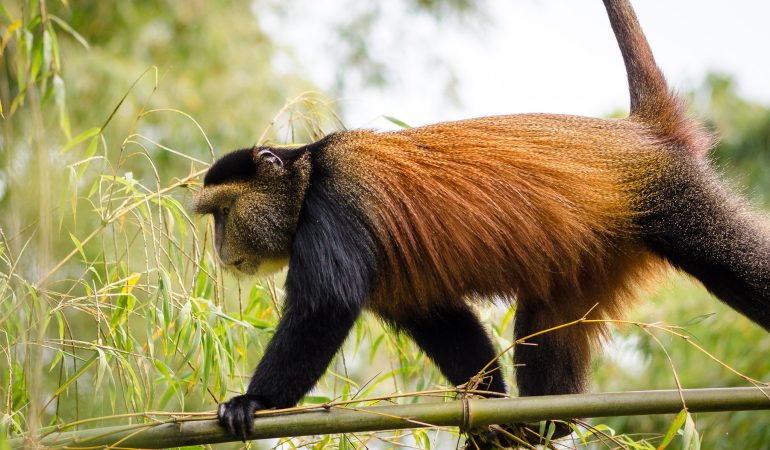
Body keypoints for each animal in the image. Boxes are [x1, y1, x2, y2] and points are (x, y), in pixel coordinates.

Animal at [193, 0, 770, 445]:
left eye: (222, 213)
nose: (220, 248)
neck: (307, 172)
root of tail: (642, 134)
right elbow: (437, 316)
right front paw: (485, 405)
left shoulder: (336, 206)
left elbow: (325, 305)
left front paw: (253, 402)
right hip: (593, 258)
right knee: (547, 326)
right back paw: (544, 425)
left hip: (675, 198)